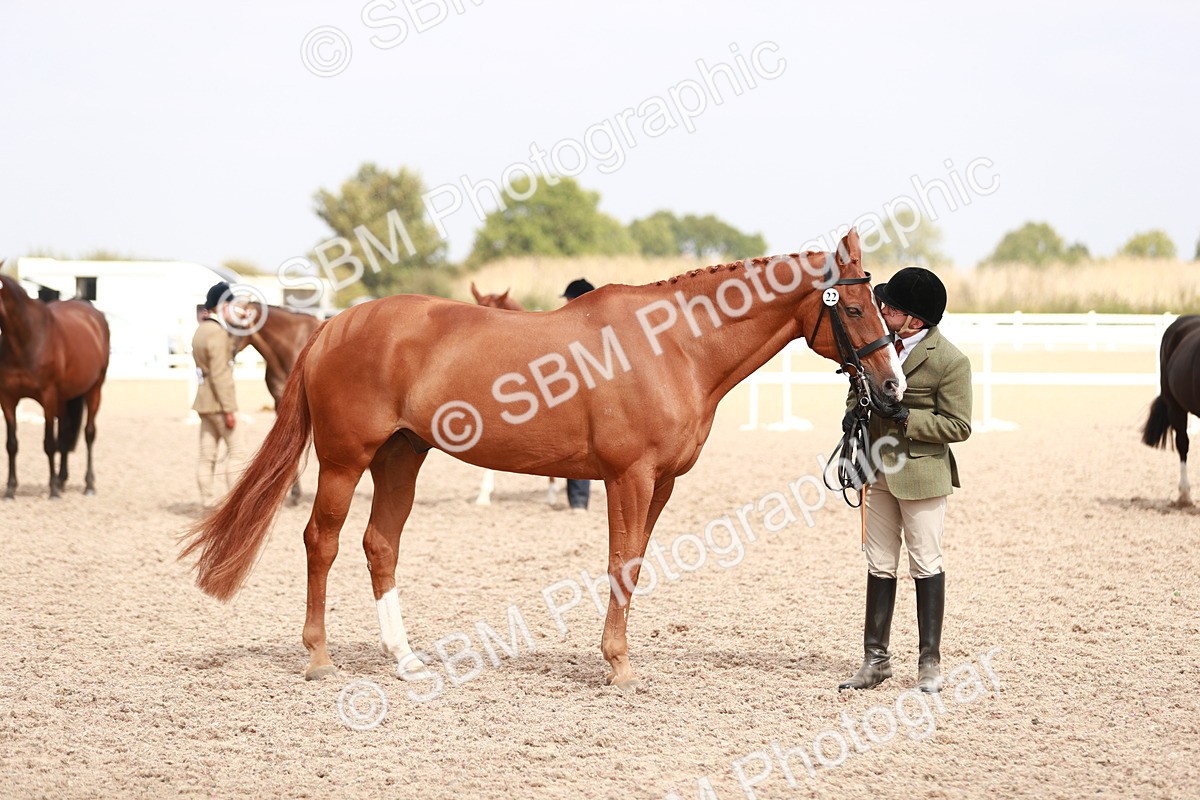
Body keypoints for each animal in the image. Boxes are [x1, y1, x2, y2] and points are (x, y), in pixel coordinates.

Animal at [0, 268, 110, 499]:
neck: (27, 339)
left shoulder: (48, 396)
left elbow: (49, 443)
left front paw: (51, 490)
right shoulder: (7, 399)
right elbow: (11, 444)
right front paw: (10, 489)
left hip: (94, 390)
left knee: (88, 434)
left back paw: (88, 485)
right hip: (65, 398)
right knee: (66, 432)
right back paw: (61, 480)